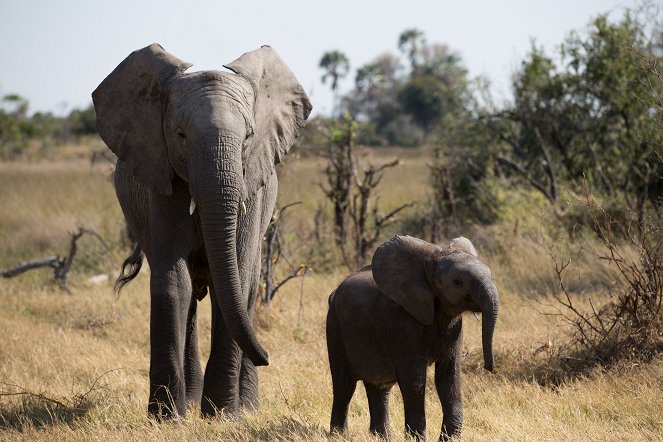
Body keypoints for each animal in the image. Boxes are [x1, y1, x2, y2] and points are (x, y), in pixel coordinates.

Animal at [92, 44, 312, 418]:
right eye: (180, 136)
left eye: (249, 136)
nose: (268, 356)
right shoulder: (160, 181)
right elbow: (172, 283)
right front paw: (166, 418)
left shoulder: (252, 190)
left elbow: (237, 280)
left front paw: (223, 415)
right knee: (192, 297)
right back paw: (192, 402)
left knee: (247, 285)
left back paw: (247, 408)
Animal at [324, 233, 500, 440]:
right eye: (457, 282)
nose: (490, 368)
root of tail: (335, 292)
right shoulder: (402, 325)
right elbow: (414, 380)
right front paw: (417, 439)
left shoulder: (455, 327)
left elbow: (449, 377)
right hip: (335, 327)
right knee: (344, 386)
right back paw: (338, 436)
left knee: (379, 387)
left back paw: (382, 437)